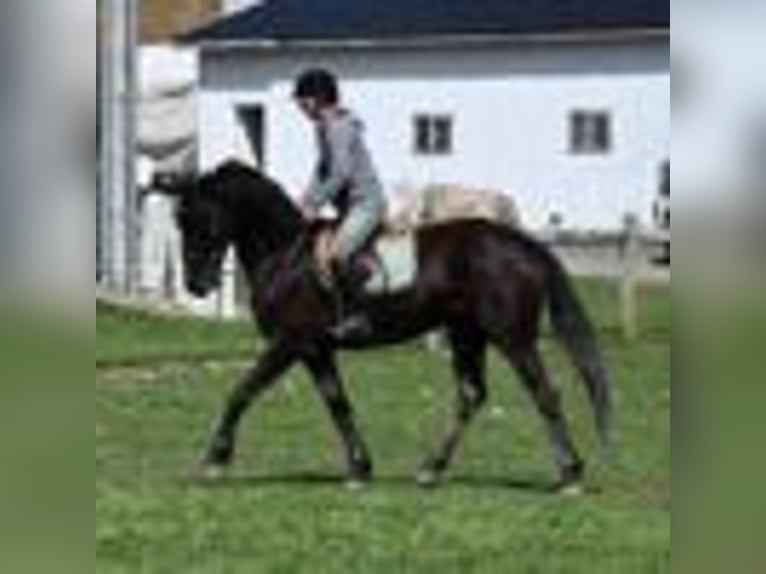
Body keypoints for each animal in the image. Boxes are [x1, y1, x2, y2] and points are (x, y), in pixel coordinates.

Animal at [153, 160, 612, 492]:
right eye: (180, 221)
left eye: (204, 220)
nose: (195, 285)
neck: (284, 254)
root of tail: (524, 245)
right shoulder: (316, 349)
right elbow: (338, 404)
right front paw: (359, 469)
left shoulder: (289, 342)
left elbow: (241, 391)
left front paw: (215, 460)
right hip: (467, 333)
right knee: (471, 395)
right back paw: (431, 469)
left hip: (512, 337)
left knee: (543, 393)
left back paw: (570, 474)